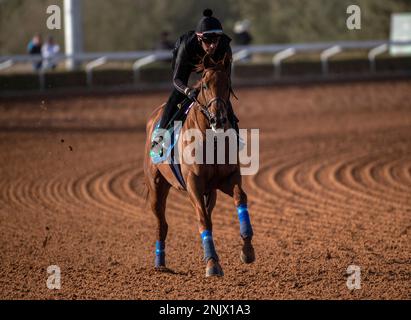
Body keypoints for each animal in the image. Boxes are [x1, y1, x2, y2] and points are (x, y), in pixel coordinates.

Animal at [144, 53, 254, 276]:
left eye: (227, 84)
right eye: (204, 85)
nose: (218, 118)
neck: (210, 139)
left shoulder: (226, 179)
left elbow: (240, 197)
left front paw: (247, 250)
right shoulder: (193, 183)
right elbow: (202, 219)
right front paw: (212, 264)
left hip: (210, 192)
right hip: (156, 187)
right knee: (162, 225)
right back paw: (160, 264)